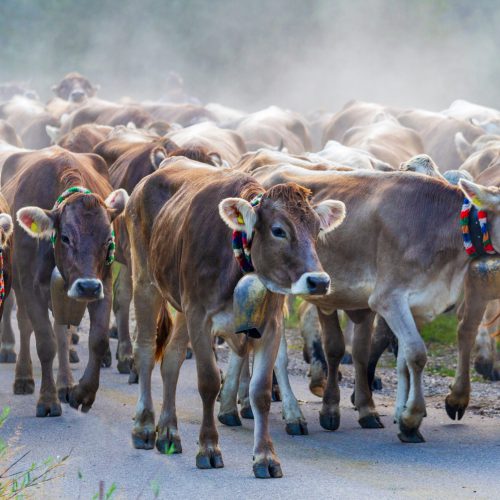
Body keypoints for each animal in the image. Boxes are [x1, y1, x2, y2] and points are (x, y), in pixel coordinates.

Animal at [3, 147, 128, 418]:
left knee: (62, 331)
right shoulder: (30, 288)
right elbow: (44, 342)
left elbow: (96, 340)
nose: (87, 286)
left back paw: (65, 384)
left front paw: (82, 393)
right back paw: (24, 378)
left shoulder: (103, 283)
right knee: (26, 325)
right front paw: (48, 400)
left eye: (108, 240)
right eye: (66, 237)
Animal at [125, 158, 346, 478]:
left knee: (171, 360)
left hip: (181, 307)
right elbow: (208, 382)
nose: (318, 281)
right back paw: (143, 427)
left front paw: (265, 456)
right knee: (144, 350)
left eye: (317, 229)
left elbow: (261, 392)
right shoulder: (200, 317)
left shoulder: (270, 325)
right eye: (278, 230)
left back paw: (168, 433)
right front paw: (208, 448)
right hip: (145, 282)